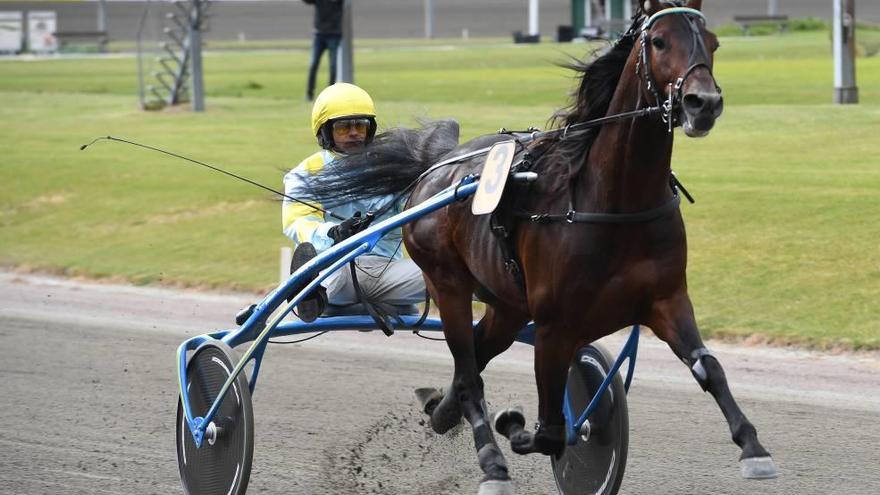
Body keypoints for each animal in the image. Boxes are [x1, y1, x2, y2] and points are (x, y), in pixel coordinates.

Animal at [300, 1, 776, 494]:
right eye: (660, 41)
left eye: (713, 43)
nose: (704, 103)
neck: (612, 201)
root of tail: (435, 168)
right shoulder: (555, 326)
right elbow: (550, 432)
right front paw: (513, 426)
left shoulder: (667, 299)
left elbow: (709, 368)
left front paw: (753, 447)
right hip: (448, 282)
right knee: (469, 373)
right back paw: (491, 461)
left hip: (507, 305)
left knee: (475, 355)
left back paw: (441, 411)